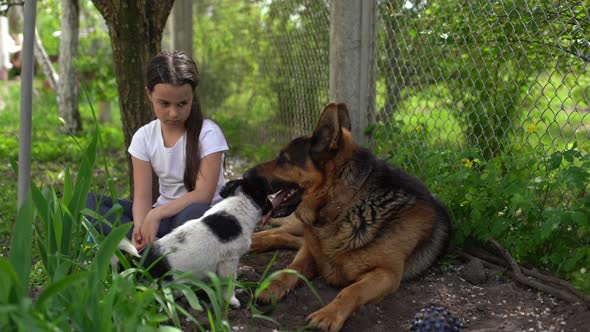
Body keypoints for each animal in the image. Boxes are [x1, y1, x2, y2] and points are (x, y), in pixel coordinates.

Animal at [115, 176, 276, 308]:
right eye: (267, 197)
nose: (272, 207)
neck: (240, 202)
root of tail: (136, 263)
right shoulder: (229, 260)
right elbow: (229, 283)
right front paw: (231, 301)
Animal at [245, 102, 454, 330]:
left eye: (284, 160)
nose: (245, 175)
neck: (344, 204)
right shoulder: (311, 251)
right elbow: (290, 269)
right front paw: (271, 285)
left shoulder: (387, 274)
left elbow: (352, 290)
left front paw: (328, 314)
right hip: (298, 227)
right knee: (282, 232)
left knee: (286, 236)